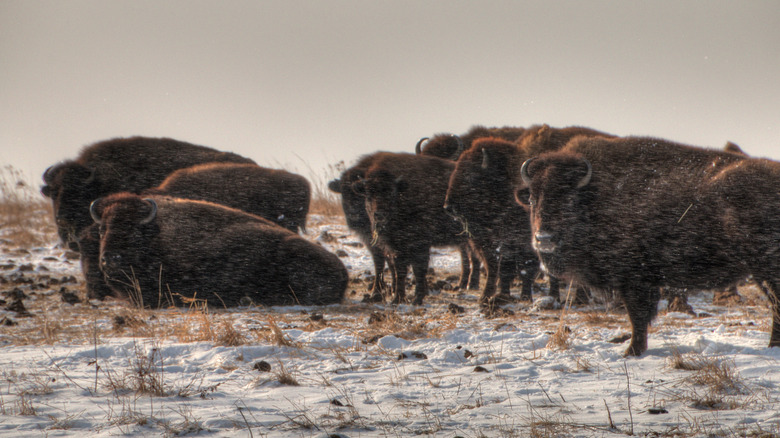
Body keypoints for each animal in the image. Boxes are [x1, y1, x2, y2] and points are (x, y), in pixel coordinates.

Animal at [517, 135, 780, 356]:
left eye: (570, 199)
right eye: (532, 198)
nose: (544, 239)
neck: (596, 197)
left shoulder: (634, 281)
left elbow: (638, 316)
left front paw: (632, 351)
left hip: (765, 270)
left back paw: (772, 346)